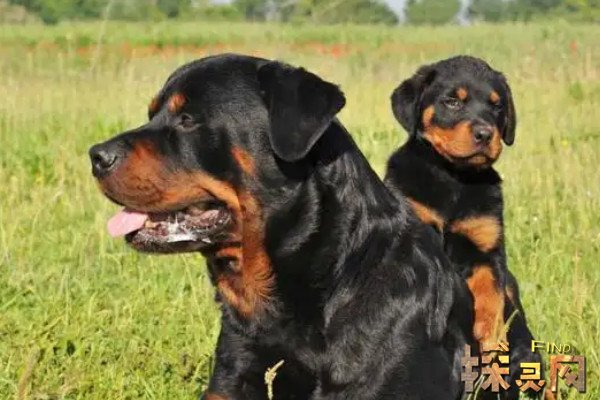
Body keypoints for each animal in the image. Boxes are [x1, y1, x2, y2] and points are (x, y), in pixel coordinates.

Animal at [385, 55, 549, 399]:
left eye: (497, 106)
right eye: (452, 101)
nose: (485, 134)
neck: (454, 177)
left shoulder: (486, 250)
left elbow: (489, 299)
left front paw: (490, 341)